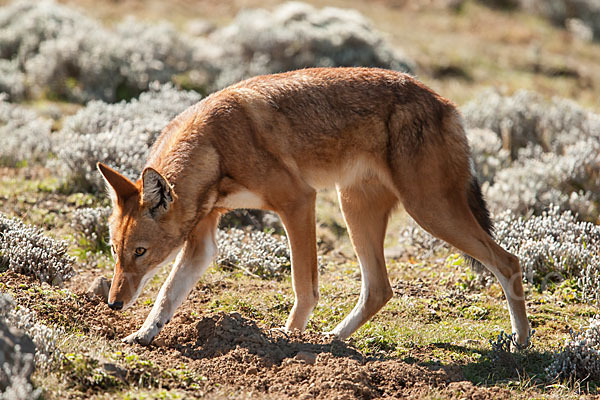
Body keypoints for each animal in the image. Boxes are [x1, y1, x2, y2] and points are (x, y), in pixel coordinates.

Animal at [97, 68, 528, 346]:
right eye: (116, 252)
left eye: (141, 252)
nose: (114, 303)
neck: (214, 148)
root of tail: (447, 103)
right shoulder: (202, 240)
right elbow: (167, 296)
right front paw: (142, 334)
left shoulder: (299, 202)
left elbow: (303, 286)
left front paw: (288, 338)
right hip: (357, 209)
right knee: (380, 289)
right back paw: (334, 339)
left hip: (429, 212)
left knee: (509, 262)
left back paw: (521, 343)